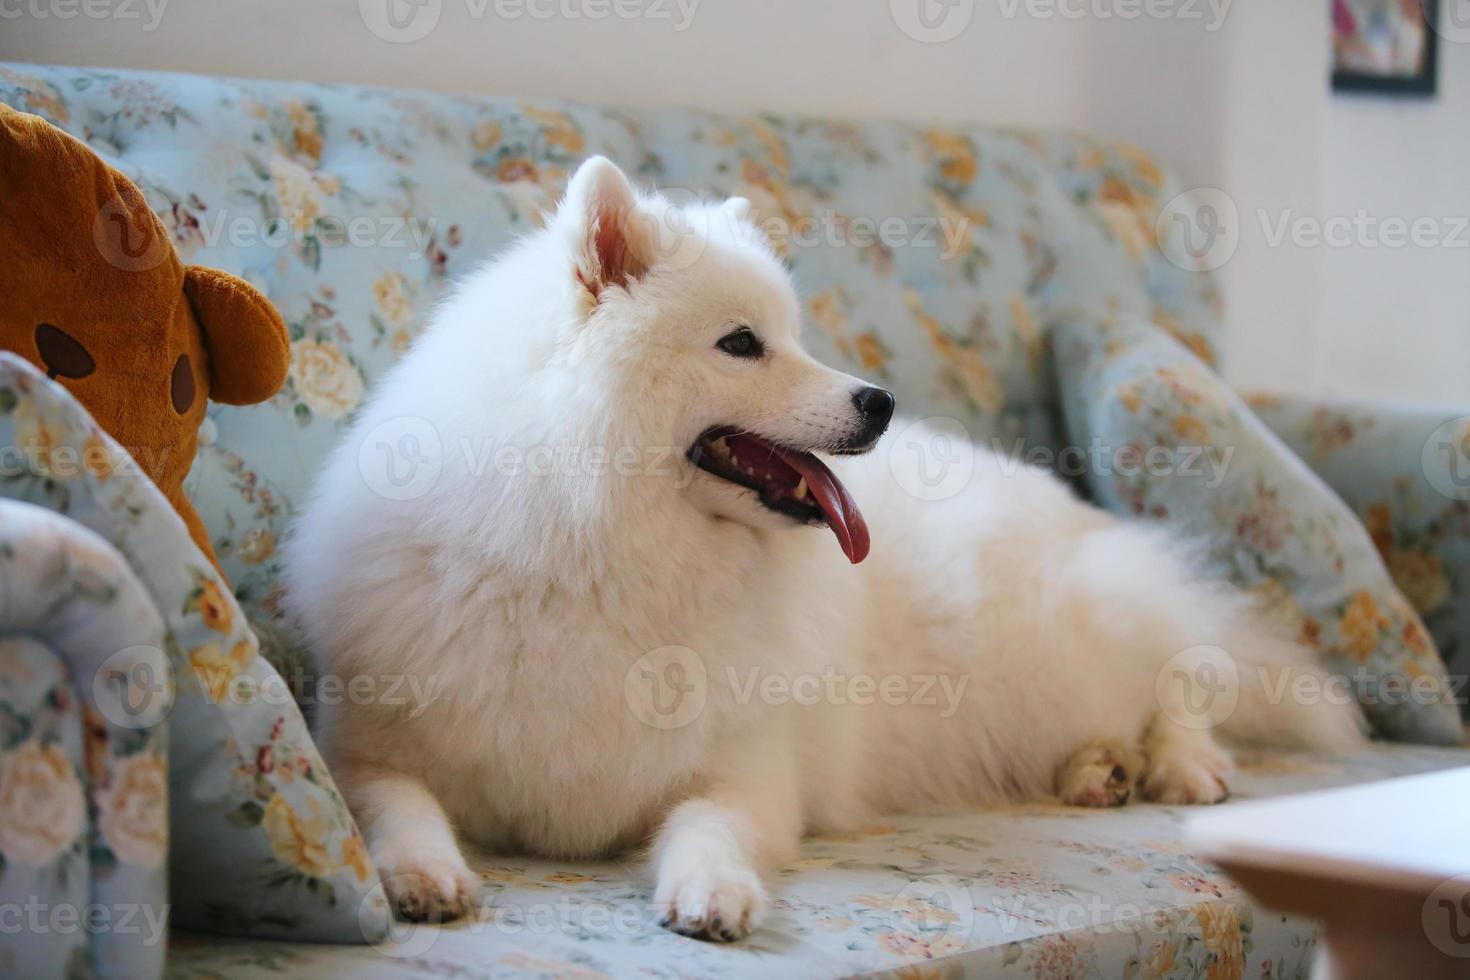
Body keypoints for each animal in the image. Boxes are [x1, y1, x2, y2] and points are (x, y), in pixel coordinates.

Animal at [286, 157, 1364, 940]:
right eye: (741, 343)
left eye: (794, 333)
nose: (878, 401)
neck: (606, 550)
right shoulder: (369, 743)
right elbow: (394, 804)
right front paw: (424, 871)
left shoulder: (751, 775)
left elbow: (706, 824)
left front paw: (713, 891)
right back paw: (1098, 770)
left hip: (1075, 641)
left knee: (1185, 664)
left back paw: (1180, 761)